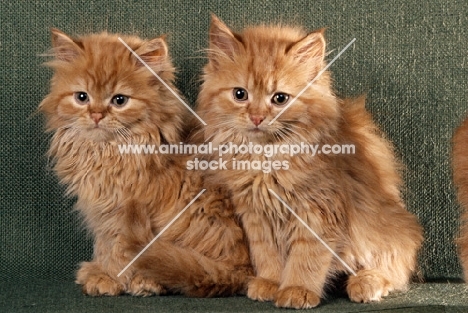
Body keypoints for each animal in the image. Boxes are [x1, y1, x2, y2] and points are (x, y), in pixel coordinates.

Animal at [40, 29, 252, 298]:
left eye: (119, 100)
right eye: (81, 97)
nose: (96, 115)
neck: (106, 152)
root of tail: (244, 271)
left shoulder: (124, 213)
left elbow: (121, 252)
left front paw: (113, 280)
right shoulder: (102, 215)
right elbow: (105, 247)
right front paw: (100, 272)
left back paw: (147, 282)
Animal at [194, 16, 424, 308]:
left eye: (280, 98)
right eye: (239, 94)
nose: (257, 117)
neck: (265, 159)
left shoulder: (317, 211)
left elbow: (306, 259)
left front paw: (296, 290)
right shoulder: (255, 214)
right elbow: (267, 254)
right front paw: (270, 283)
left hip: (385, 232)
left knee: (394, 269)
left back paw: (366, 283)